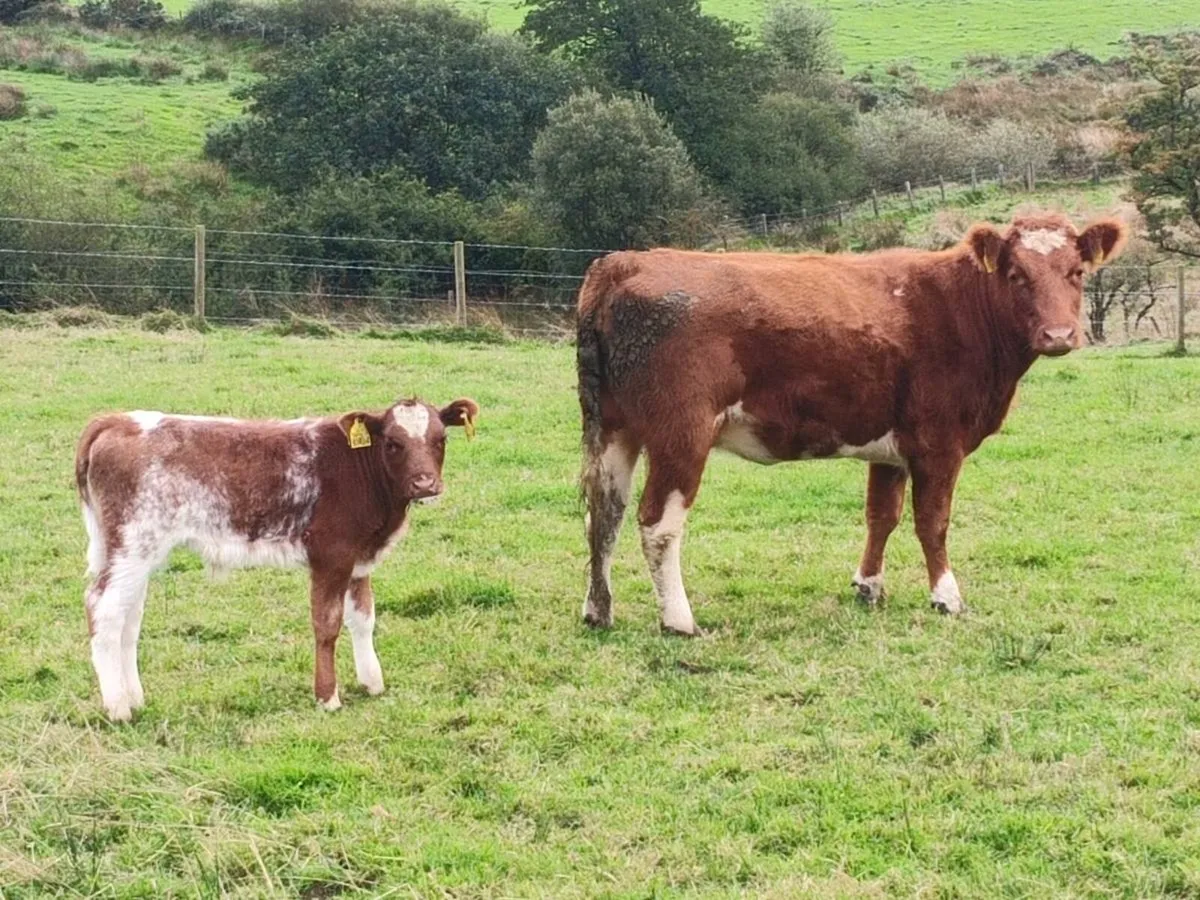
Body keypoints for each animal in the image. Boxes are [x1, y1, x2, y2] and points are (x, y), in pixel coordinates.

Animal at [75, 397, 479, 721]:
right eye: (393, 443)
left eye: (441, 439)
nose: (425, 484)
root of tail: (116, 420)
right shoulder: (330, 557)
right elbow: (327, 625)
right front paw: (327, 697)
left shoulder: (358, 560)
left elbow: (364, 619)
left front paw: (372, 683)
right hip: (133, 544)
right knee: (104, 609)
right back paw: (119, 708)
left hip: (130, 551)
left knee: (129, 617)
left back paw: (135, 698)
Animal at [577, 213, 1127, 635]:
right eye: (1015, 274)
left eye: (1076, 272)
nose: (1059, 335)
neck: (958, 307)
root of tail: (624, 261)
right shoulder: (939, 443)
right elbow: (933, 522)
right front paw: (946, 597)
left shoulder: (892, 448)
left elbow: (881, 516)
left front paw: (868, 586)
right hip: (681, 434)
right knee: (657, 523)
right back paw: (679, 621)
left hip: (613, 427)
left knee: (604, 514)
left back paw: (598, 611)